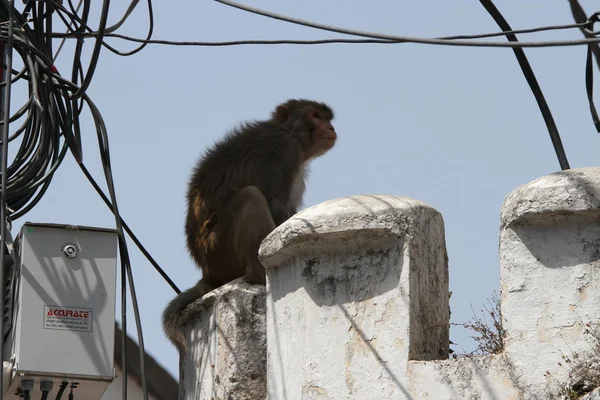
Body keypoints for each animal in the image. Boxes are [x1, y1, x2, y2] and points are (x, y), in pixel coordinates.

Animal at [159, 98, 338, 348]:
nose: (330, 128)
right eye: (316, 116)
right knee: (250, 196)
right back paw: (258, 276)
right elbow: (276, 206)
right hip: (219, 250)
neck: (289, 132)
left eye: (327, 118)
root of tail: (207, 272)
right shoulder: (284, 149)